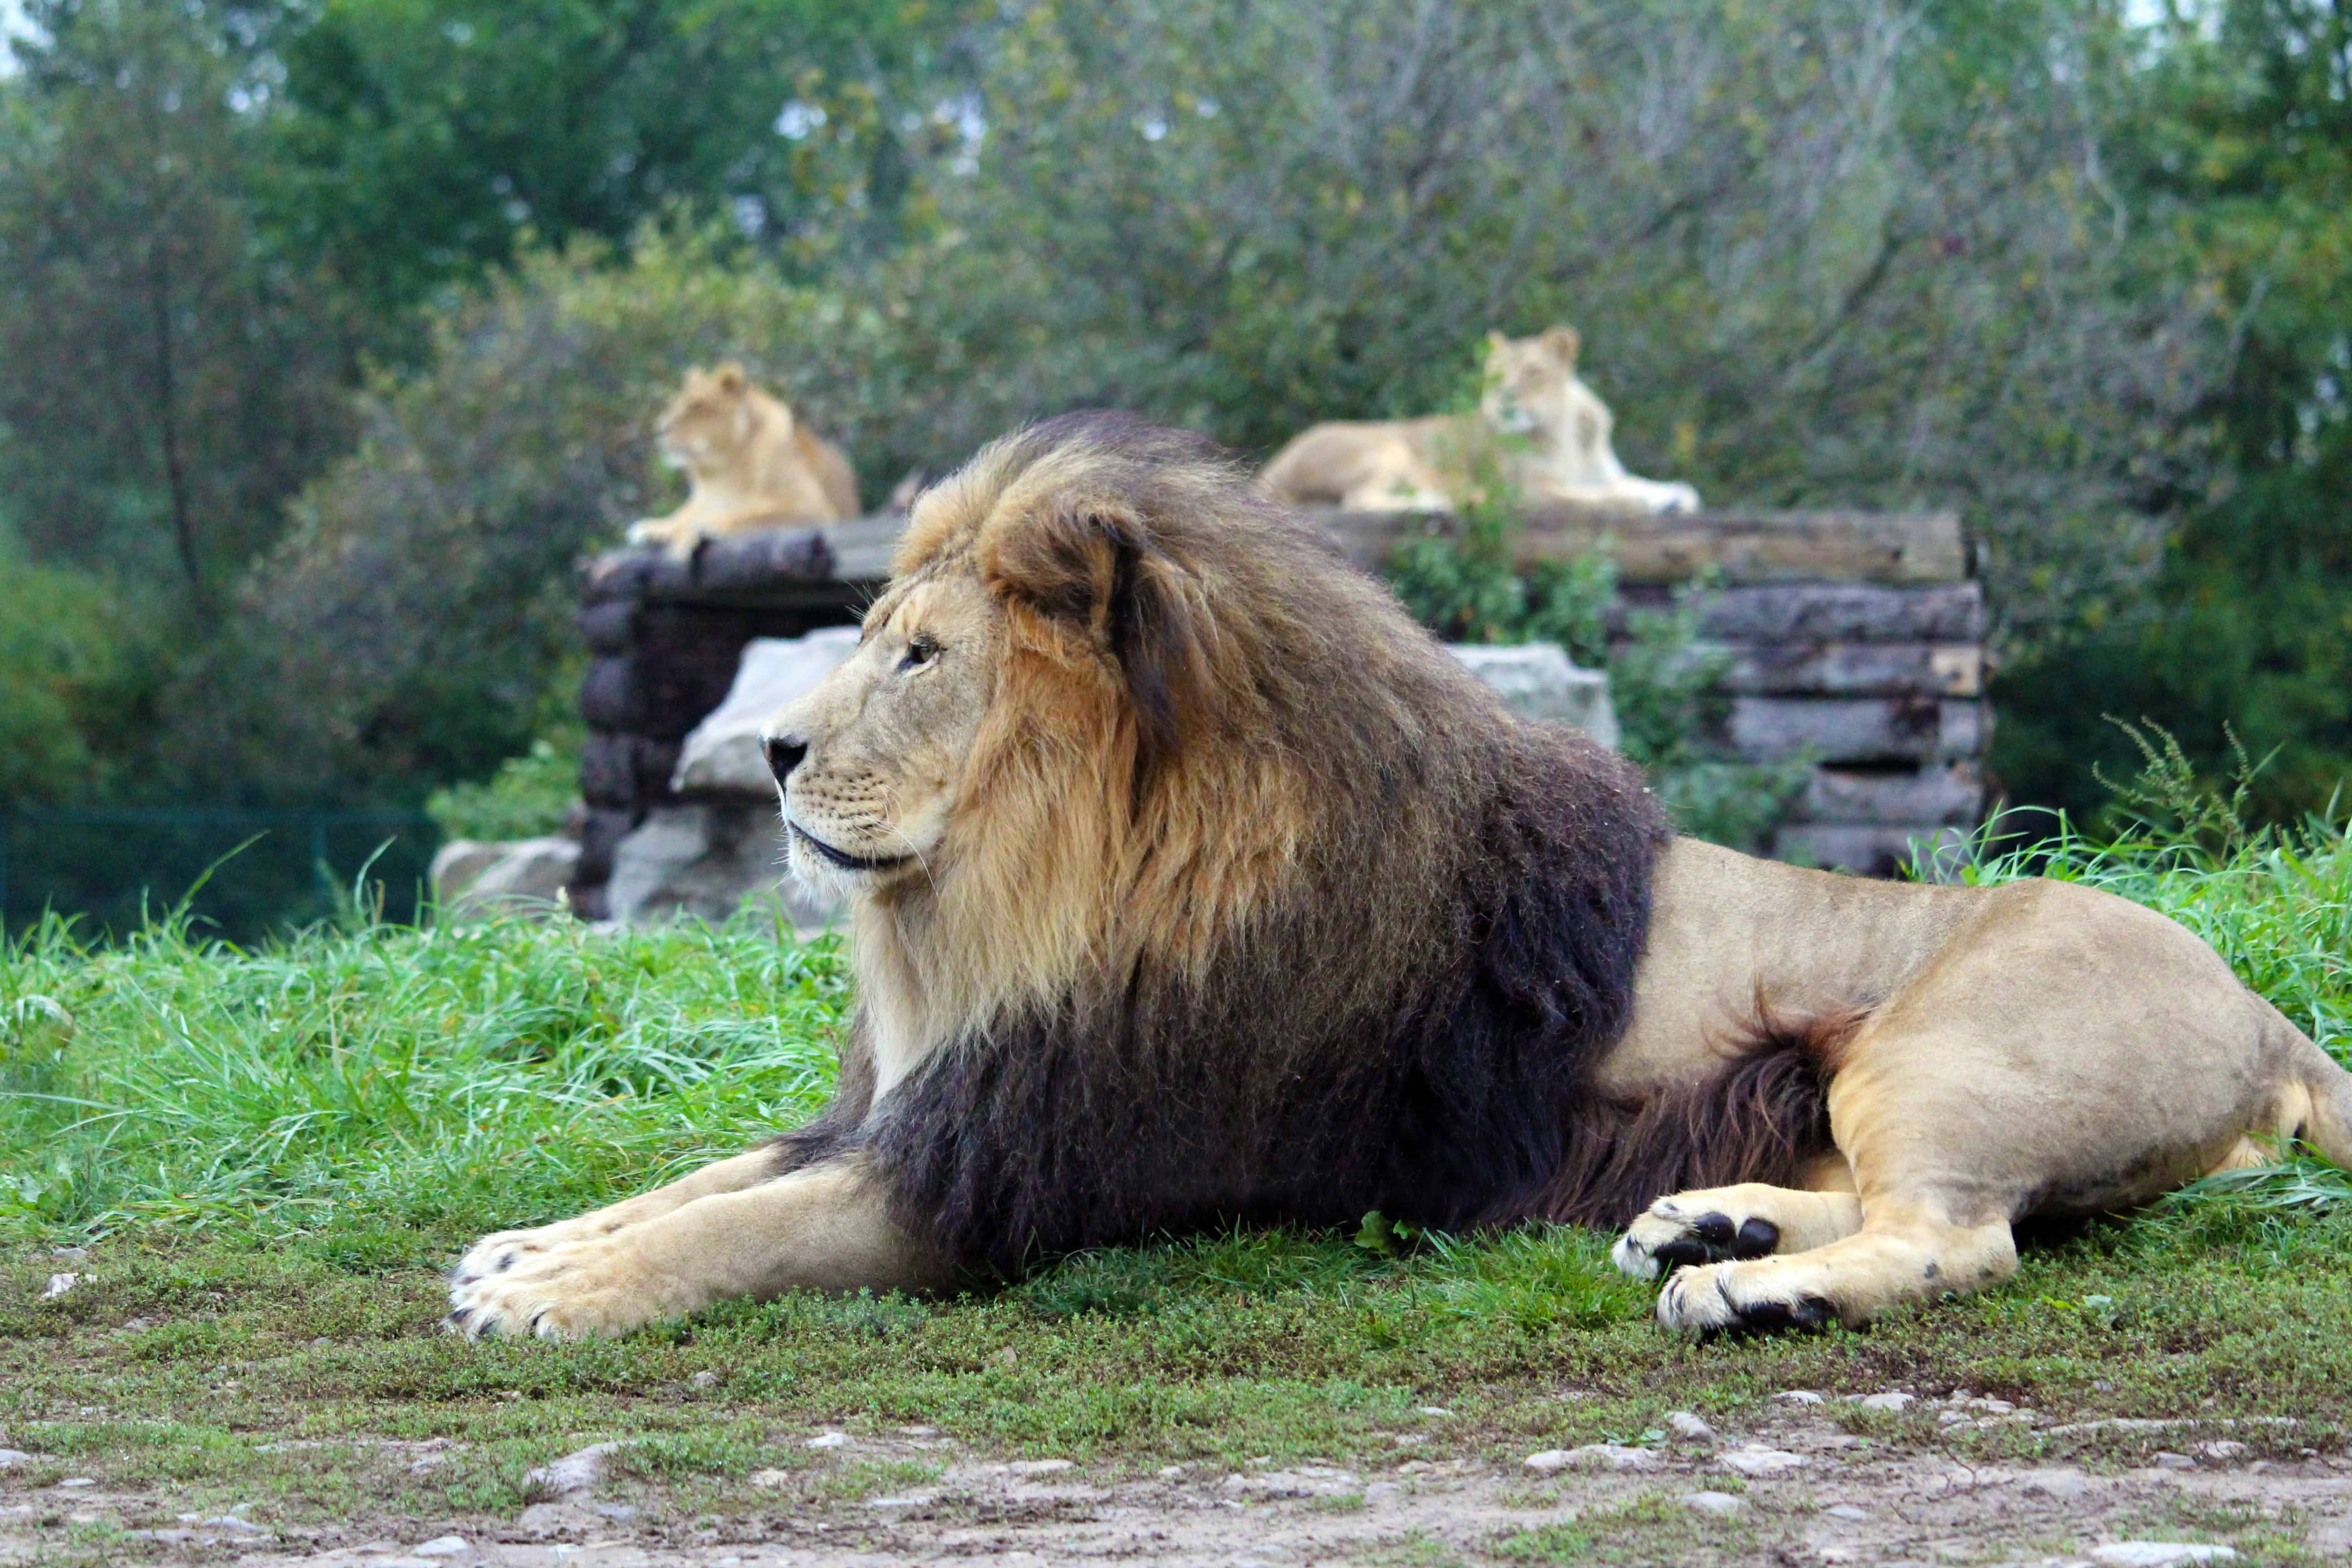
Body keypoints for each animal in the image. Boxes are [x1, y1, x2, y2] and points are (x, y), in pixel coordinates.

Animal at [449, 413, 2342, 1335]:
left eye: (915, 658)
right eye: (864, 638)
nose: (767, 750)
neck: (1009, 902)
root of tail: (2264, 1011)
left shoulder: (1022, 1171)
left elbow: (745, 1226)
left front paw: (552, 1298)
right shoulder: (933, 1102)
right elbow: (710, 1173)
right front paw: (525, 1245)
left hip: (1934, 1045)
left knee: (1960, 1240)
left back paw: (1744, 1286)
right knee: (1907, 1210)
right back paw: (1705, 1217)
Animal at [625, 362, 865, 557]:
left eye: (698, 406)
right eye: (674, 405)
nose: (660, 430)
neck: (720, 471)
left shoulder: (814, 510)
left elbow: (742, 516)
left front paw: (693, 531)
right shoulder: (702, 501)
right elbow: (683, 515)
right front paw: (654, 528)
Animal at [1260, 329, 1703, 514]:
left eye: (1533, 372)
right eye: (1497, 375)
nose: (1504, 397)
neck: (1566, 436)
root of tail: (1272, 468)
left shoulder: (1602, 472)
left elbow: (1631, 482)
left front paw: (1675, 495)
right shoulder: (1533, 491)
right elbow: (1598, 497)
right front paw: (1640, 503)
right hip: (1388, 446)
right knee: (1360, 500)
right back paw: (1443, 502)